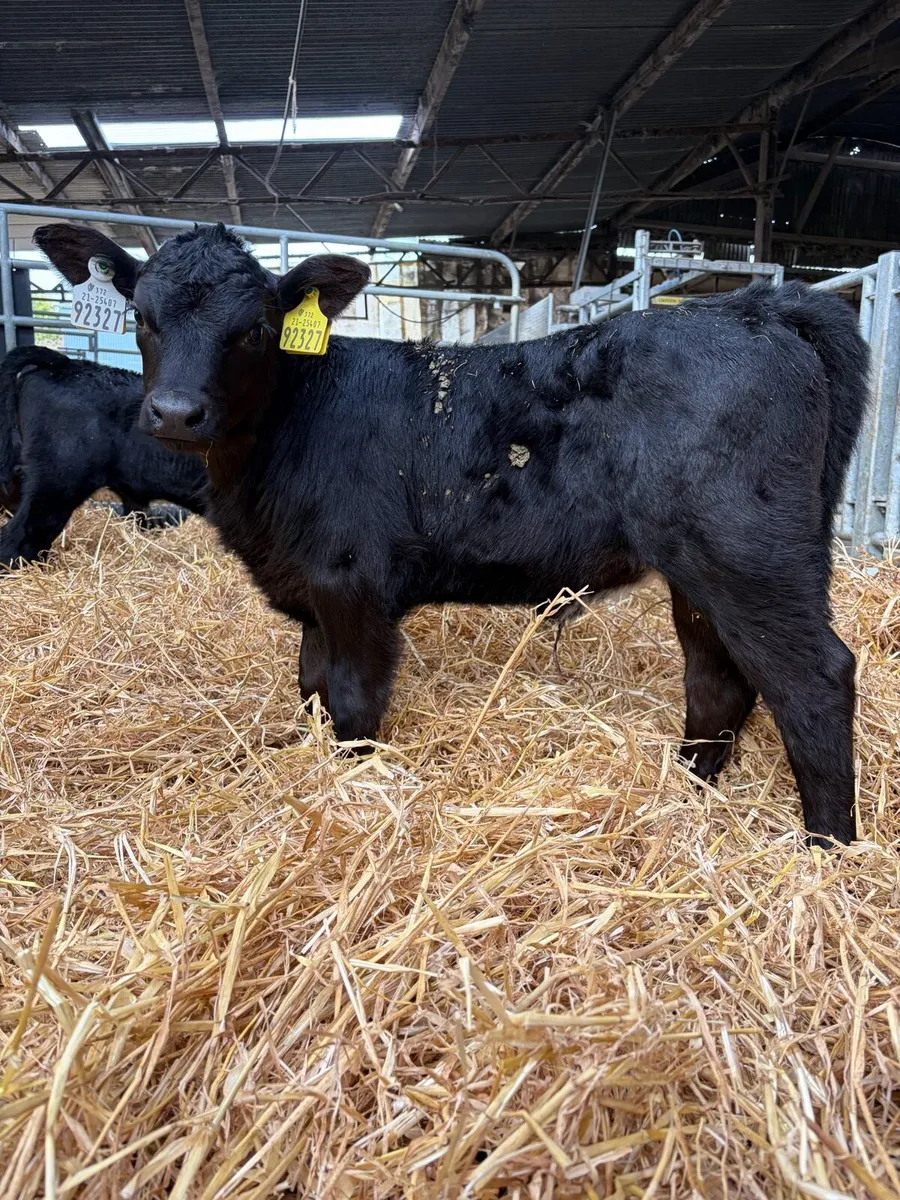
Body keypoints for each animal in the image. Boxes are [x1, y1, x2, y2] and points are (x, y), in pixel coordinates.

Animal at [34, 221, 869, 848]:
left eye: (255, 328)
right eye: (142, 316)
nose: (176, 412)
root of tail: (754, 308)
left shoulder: (355, 585)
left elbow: (352, 702)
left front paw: (352, 791)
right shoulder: (312, 590)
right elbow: (309, 689)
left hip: (749, 555)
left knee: (813, 678)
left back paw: (824, 848)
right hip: (701, 569)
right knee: (718, 677)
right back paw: (688, 792)